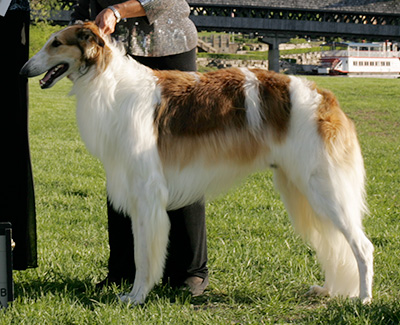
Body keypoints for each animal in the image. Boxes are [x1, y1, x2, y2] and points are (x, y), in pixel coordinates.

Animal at [20, 22, 374, 304]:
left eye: (56, 43)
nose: (23, 70)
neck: (110, 84)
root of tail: (325, 97)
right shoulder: (135, 194)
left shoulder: (147, 194)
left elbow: (144, 256)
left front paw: (136, 297)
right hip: (303, 189)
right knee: (334, 245)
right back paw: (330, 290)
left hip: (325, 189)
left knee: (363, 247)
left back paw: (364, 300)